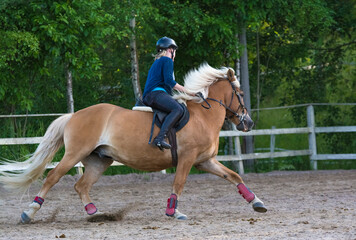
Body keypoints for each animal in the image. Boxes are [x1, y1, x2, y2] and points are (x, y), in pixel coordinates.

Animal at [0, 62, 268, 222]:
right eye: (240, 94)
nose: (248, 123)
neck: (203, 116)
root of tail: (74, 115)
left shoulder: (205, 161)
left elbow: (234, 176)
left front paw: (257, 202)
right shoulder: (188, 159)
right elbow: (179, 183)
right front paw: (174, 212)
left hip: (99, 160)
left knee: (81, 185)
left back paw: (94, 212)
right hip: (75, 153)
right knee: (53, 177)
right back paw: (28, 212)